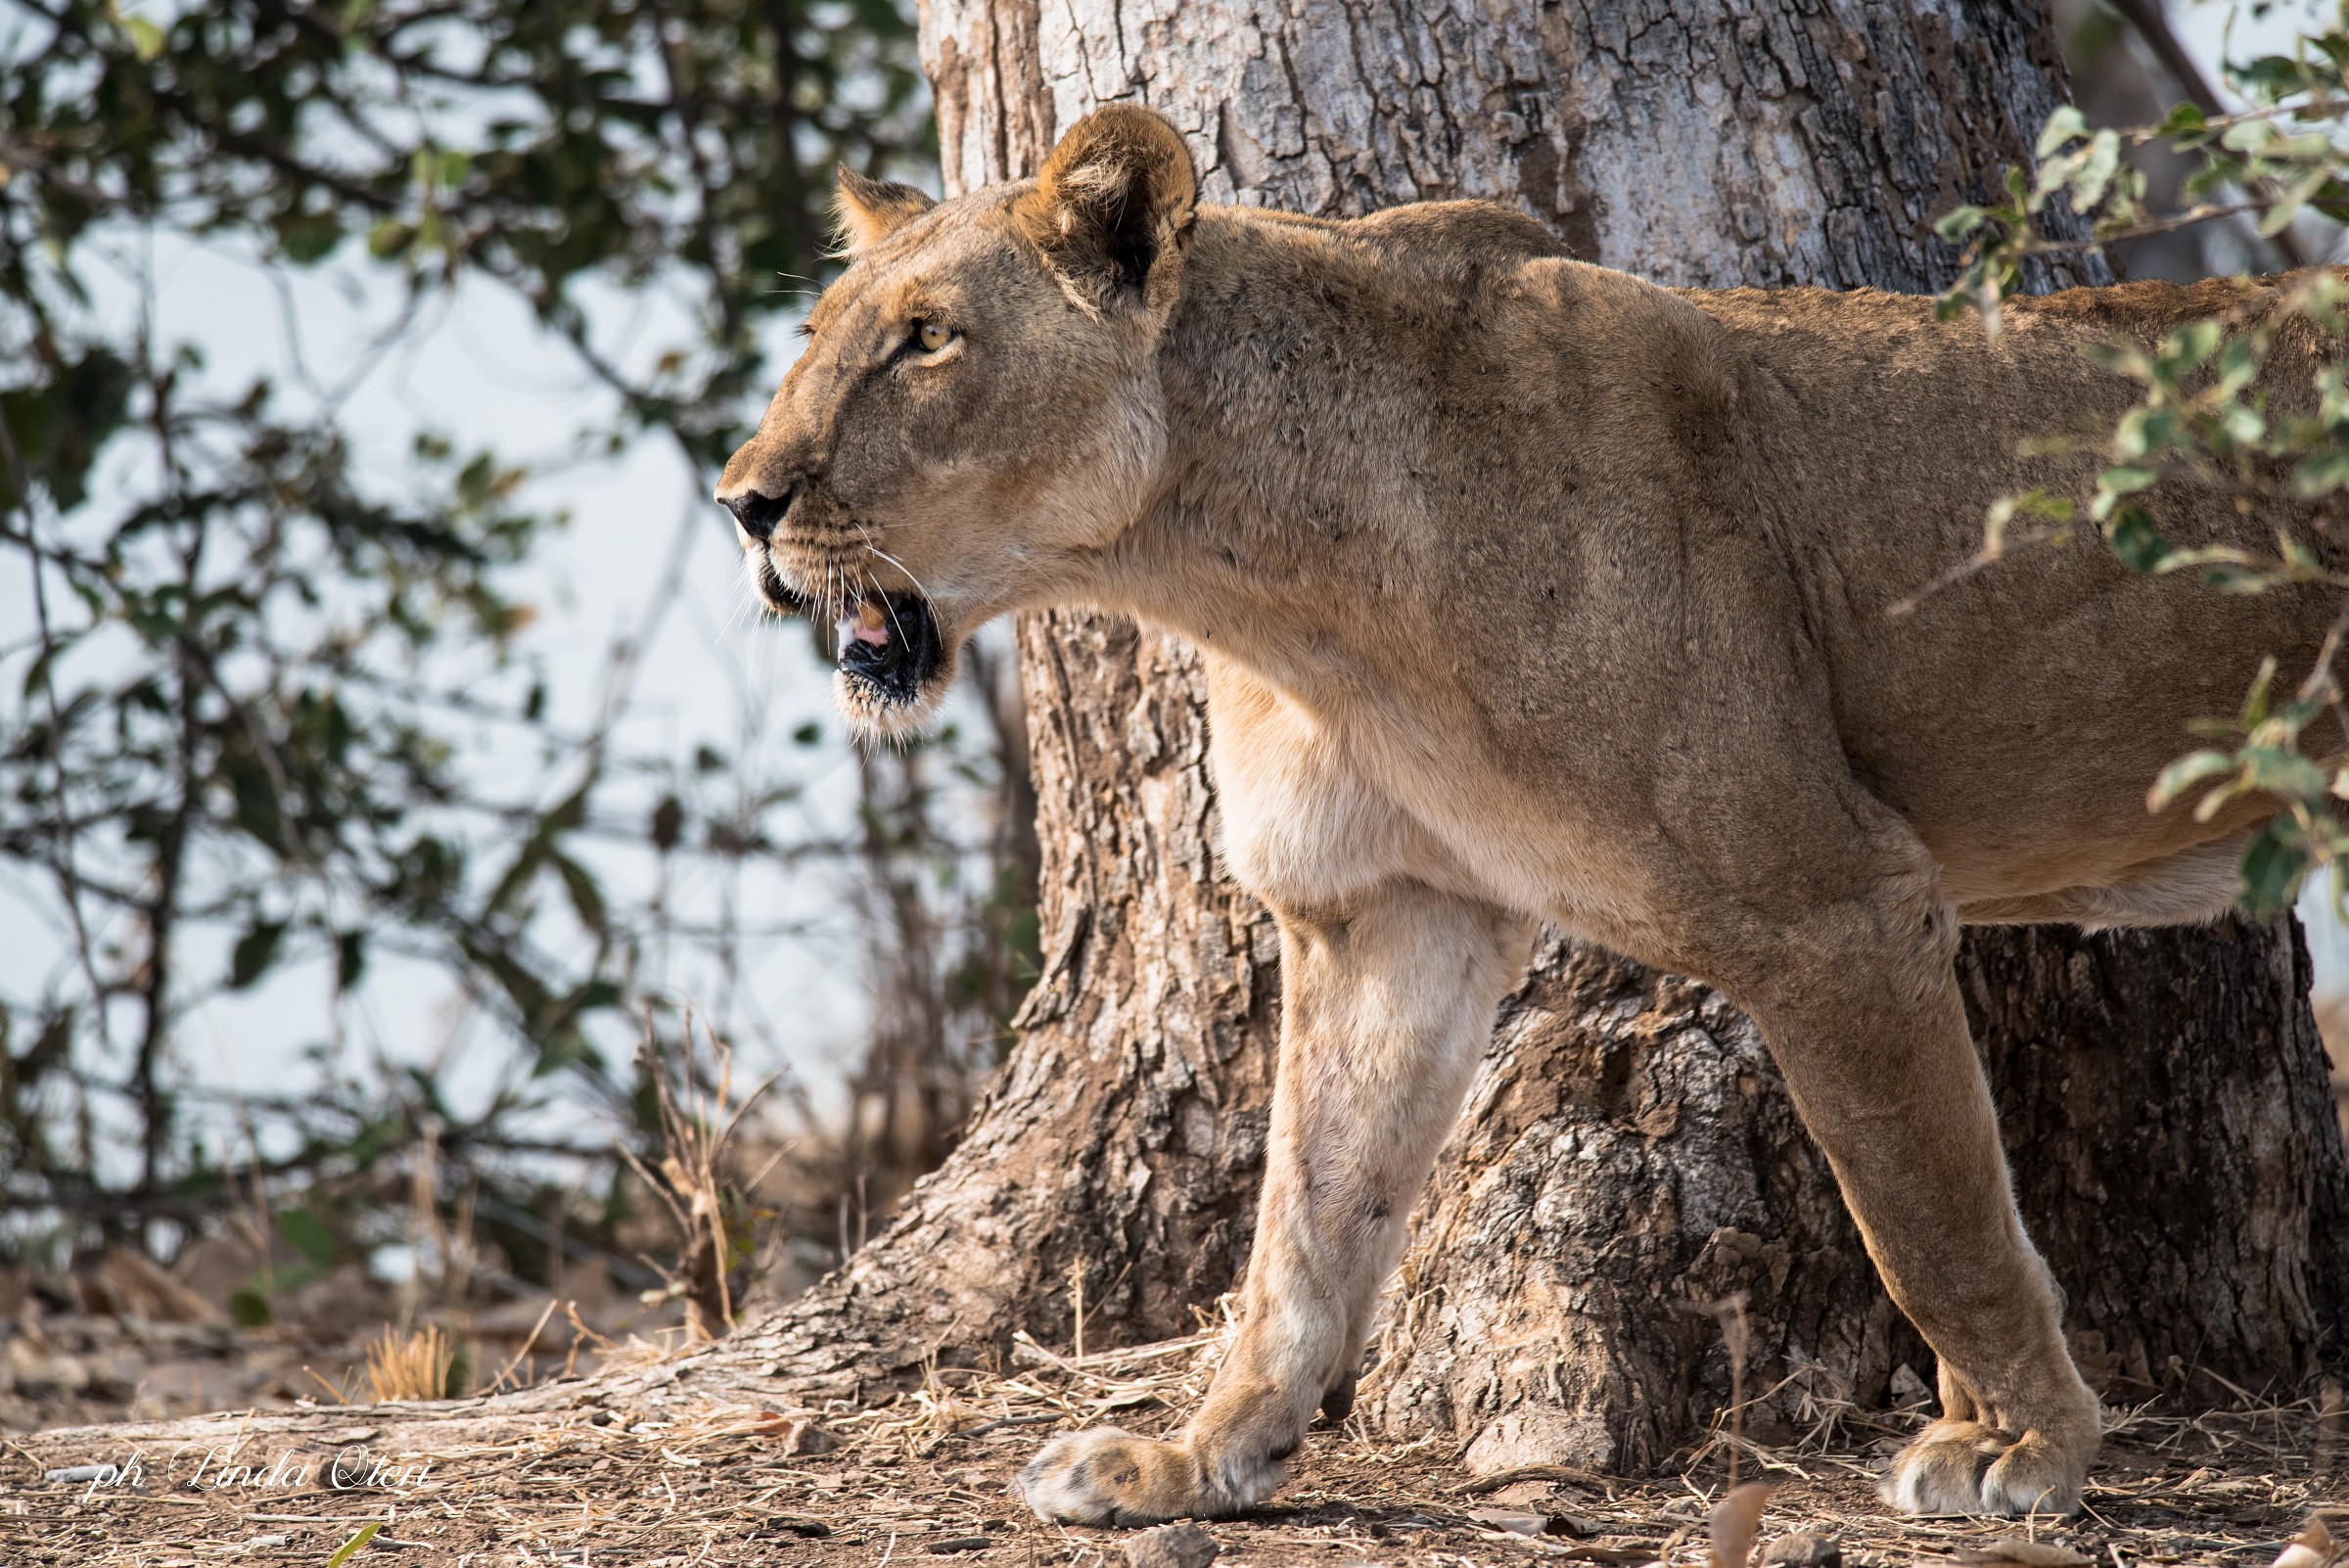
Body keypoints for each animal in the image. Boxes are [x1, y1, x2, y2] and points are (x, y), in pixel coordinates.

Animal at [717, 103, 2341, 1524]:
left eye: (927, 340)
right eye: (816, 337)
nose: (742, 501)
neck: (1271, 588)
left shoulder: (1835, 903)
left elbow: (1928, 1214)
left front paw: (2025, 1444)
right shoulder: (1386, 910)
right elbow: (1308, 1220)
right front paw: (1198, 1455)